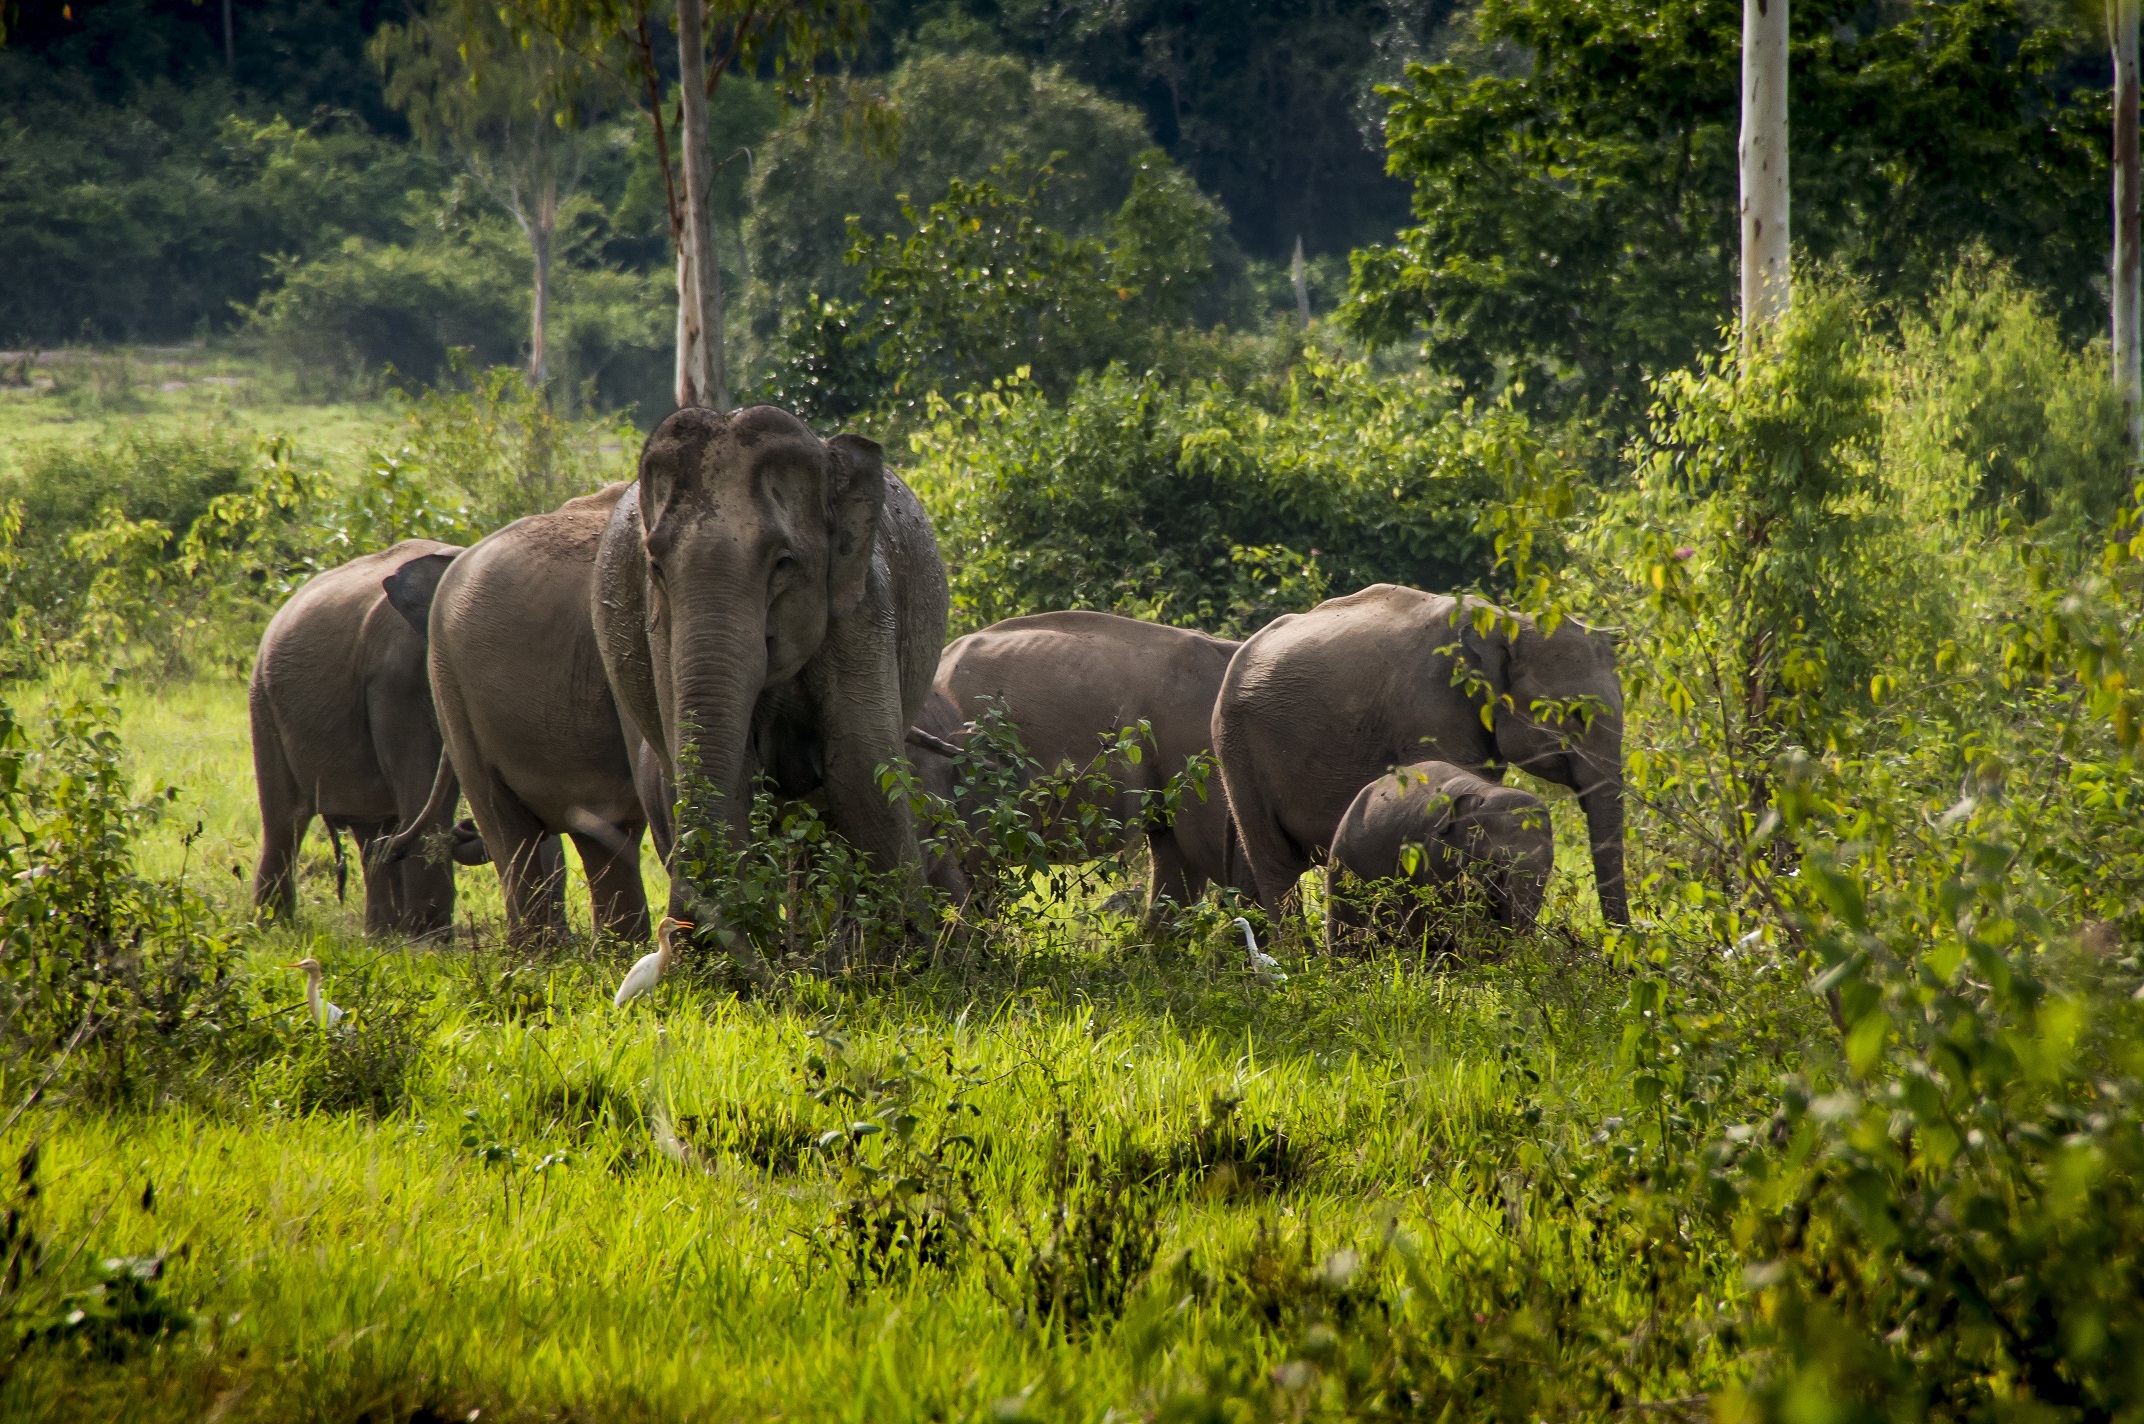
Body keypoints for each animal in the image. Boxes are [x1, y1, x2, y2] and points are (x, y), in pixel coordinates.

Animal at [249, 539, 485, 936]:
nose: (467, 828)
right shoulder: (391, 680)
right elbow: (423, 787)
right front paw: (429, 937)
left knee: (369, 827)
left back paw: (380, 932)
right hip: (263, 702)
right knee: (284, 819)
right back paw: (271, 925)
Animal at [425, 484, 654, 945]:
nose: (459, 829)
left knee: (602, 831)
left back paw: (615, 951)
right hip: (450, 686)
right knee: (504, 823)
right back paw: (539, 953)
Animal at [590, 405, 949, 923]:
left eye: (783, 562)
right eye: (655, 565)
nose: (684, 925)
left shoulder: (863, 610)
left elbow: (862, 770)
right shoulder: (661, 631)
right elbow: (733, 777)